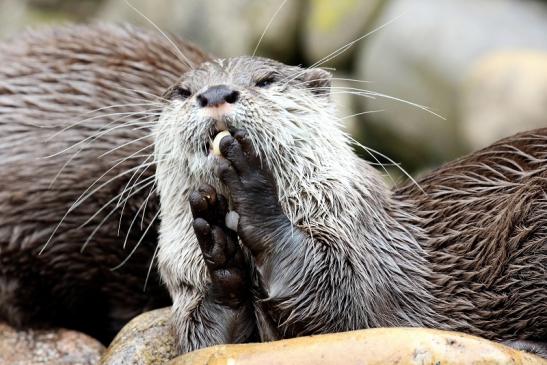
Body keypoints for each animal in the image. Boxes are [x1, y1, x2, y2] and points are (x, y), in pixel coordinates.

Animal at [0, 22, 544, 356]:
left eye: (264, 79)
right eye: (183, 91)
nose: (215, 93)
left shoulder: (375, 263)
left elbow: (340, 301)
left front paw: (252, 192)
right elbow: (216, 337)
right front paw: (219, 252)